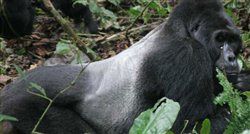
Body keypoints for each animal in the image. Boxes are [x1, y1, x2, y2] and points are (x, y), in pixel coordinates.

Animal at [0, 0, 248, 133]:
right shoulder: (187, 55)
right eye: (220, 40)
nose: (231, 58)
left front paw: (244, 82)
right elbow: (187, 126)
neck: (177, 31)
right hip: (20, 108)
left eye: (233, 41)